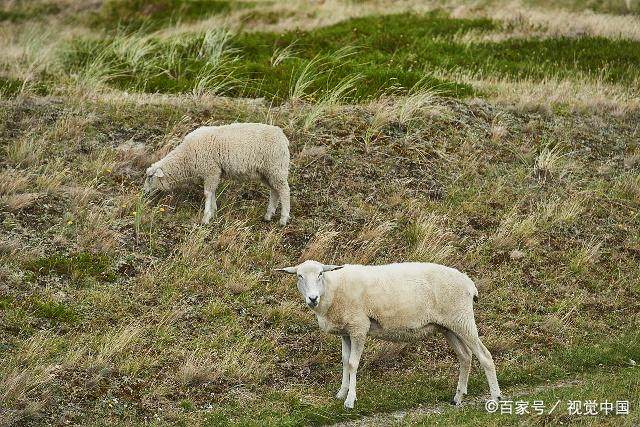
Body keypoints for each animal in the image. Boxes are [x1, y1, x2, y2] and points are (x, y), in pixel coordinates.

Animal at [144, 122, 292, 226]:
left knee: (284, 192)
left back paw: (283, 219)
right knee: (275, 191)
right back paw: (268, 215)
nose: (144, 193)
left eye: (150, 177)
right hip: (267, 173)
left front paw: (206, 217)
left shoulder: (210, 170)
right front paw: (214, 212)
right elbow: (213, 192)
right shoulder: (213, 172)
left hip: (276, 168)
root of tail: (283, 136)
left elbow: (207, 193)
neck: (186, 157)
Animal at [276, 260, 500, 410]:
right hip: (449, 326)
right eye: (299, 276)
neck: (333, 289)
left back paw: (495, 398)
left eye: (321, 274)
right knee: (465, 357)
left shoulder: (359, 327)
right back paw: (458, 397)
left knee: (485, 356)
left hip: (462, 319)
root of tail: (469, 282)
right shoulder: (346, 332)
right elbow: (345, 361)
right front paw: (341, 393)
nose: (312, 298)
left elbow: (353, 364)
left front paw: (350, 400)